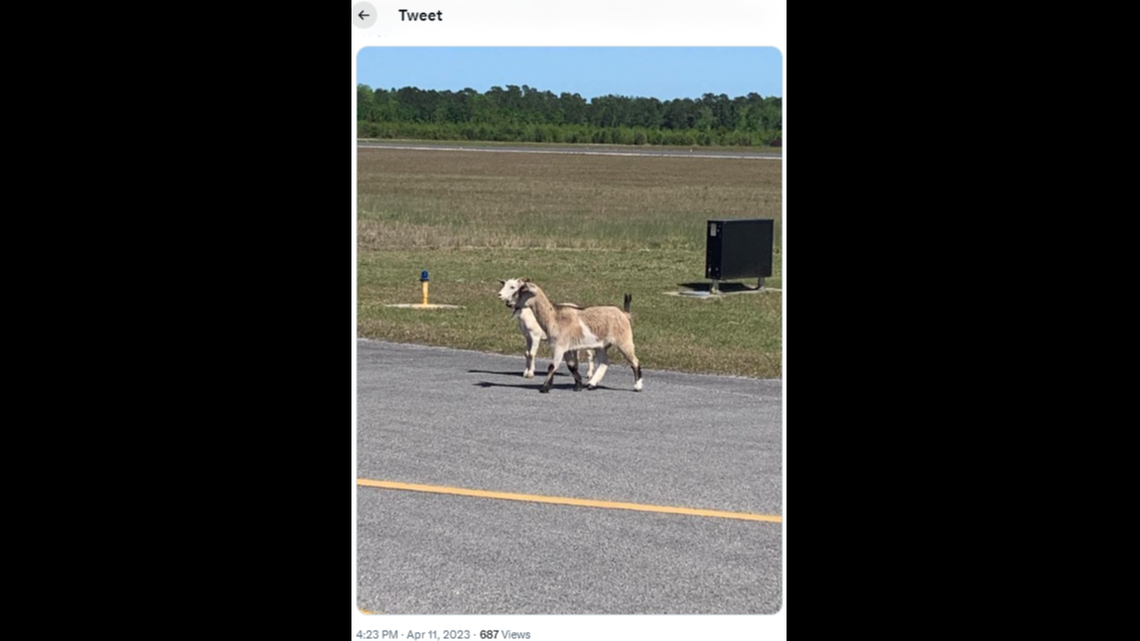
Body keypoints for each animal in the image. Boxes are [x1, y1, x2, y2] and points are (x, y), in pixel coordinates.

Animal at [513, 279, 642, 394]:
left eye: (522, 292)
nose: (510, 303)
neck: (553, 316)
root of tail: (625, 314)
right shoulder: (565, 348)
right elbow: (571, 366)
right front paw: (578, 385)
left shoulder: (559, 346)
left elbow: (552, 366)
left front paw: (544, 388)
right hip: (602, 345)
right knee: (604, 362)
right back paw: (591, 384)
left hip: (624, 340)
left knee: (634, 361)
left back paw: (638, 386)